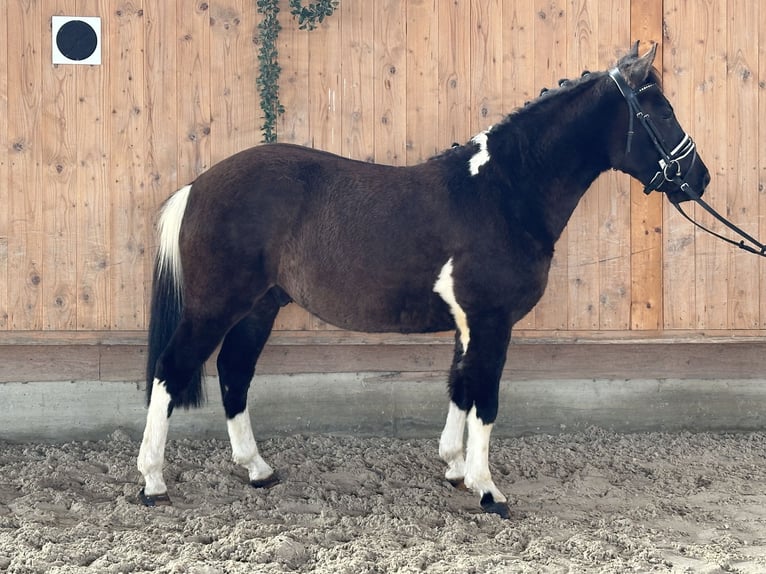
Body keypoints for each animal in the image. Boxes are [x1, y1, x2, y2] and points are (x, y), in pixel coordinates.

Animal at [138, 44, 712, 520]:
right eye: (662, 109)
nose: (700, 178)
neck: (502, 193)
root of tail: (199, 185)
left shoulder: (469, 324)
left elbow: (459, 386)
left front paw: (455, 468)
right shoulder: (491, 321)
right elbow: (486, 397)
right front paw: (488, 490)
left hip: (260, 306)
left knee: (234, 373)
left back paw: (258, 470)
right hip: (217, 304)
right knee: (171, 371)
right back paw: (153, 482)